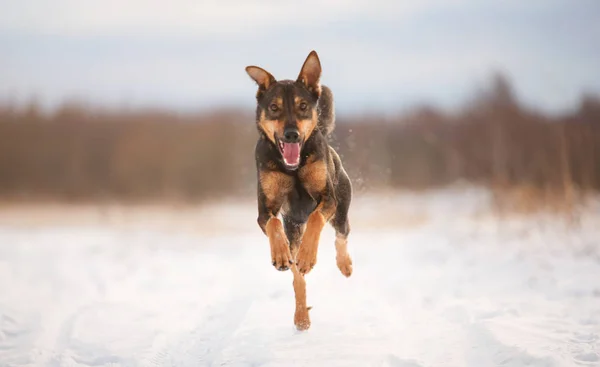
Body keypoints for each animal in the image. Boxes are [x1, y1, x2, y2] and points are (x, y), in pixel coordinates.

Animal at [246, 51, 354, 330]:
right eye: (274, 107)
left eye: (303, 106)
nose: (292, 134)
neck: (293, 168)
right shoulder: (265, 210)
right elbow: (273, 224)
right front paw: (281, 254)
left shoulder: (328, 198)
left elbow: (316, 217)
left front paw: (308, 256)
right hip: (293, 227)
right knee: (297, 279)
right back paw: (301, 315)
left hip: (341, 207)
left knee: (342, 234)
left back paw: (344, 264)